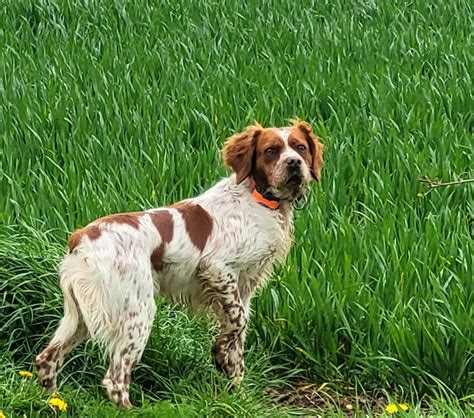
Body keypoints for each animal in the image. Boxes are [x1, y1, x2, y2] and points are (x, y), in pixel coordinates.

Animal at [35, 119, 324, 406]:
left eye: (300, 147)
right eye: (270, 150)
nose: (294, 163)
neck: (257, 199)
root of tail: (82, 237)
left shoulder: (244, 289)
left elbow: (238, 340)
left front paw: (236, 391)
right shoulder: (218, 268)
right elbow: (238, 323)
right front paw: (219, 353)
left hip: (81, 315)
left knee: (47, 359)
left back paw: (53, 401)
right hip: (137, 311)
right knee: (115, 378)